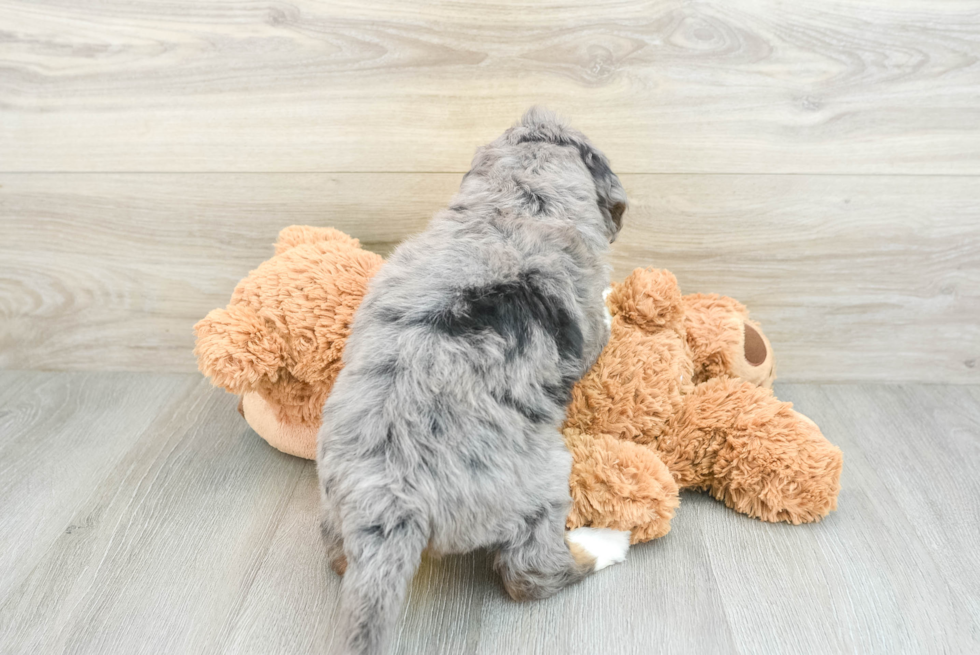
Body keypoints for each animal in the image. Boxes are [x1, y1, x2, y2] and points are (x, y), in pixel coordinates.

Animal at [318, 109, 632, 655]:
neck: (516, 202)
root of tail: (392, 501)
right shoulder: (589, 325)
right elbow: (600, 324)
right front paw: (614, 302)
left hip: (335, 510)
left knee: (338, 558)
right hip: (544, 481)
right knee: (532, 574)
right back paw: (606, 542)